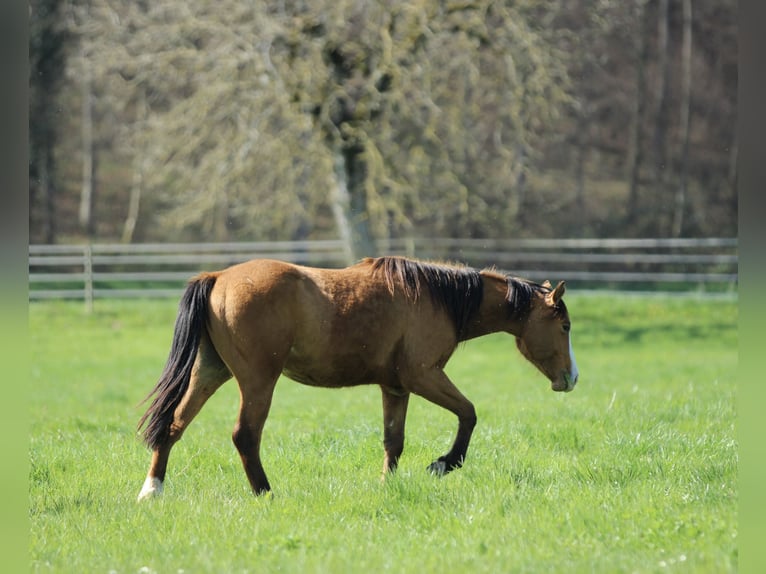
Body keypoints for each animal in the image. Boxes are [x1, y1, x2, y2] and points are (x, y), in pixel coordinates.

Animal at [136, 256, 579, 500]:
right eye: (565, 326)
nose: (571, 378)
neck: (439, 296)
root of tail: (217, 277)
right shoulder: (424, 376)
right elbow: (468, 414)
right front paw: (444, 463)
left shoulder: (396, 387)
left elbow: (394, 441)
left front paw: (387, 486)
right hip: (257, 380)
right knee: (245, 435)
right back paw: (265, 493)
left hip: (211, 372)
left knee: (174, 425)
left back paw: (152, 490)